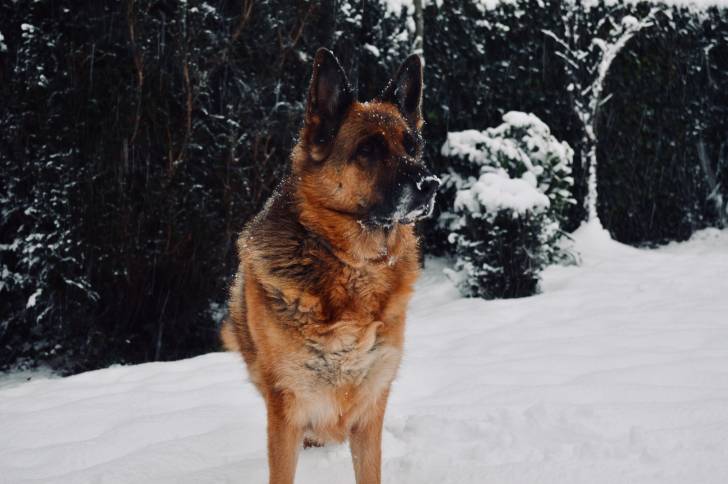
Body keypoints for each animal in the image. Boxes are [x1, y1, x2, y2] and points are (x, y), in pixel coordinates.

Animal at [220, 48, 438, 484]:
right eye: (368, 150)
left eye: (412, 146)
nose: (432, 185)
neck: (354, 265)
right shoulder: (287, 408)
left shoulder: (370, 407)